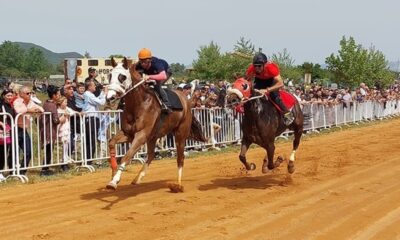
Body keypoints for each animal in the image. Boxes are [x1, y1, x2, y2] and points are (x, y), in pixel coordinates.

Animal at [105, 57, 206, 192]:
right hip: (153, 136)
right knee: (151, 155)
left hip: (180, 134)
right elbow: (111, 142)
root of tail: (187, 101)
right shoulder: (128, 133)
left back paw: (178, 185)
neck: (139, 104)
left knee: (180, 158)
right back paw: (138, 178)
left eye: (123, 77)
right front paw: (113, 173)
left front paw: (114, 181)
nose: (109, 98)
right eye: (110, 75)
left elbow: (126, 156)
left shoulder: (141, 135)